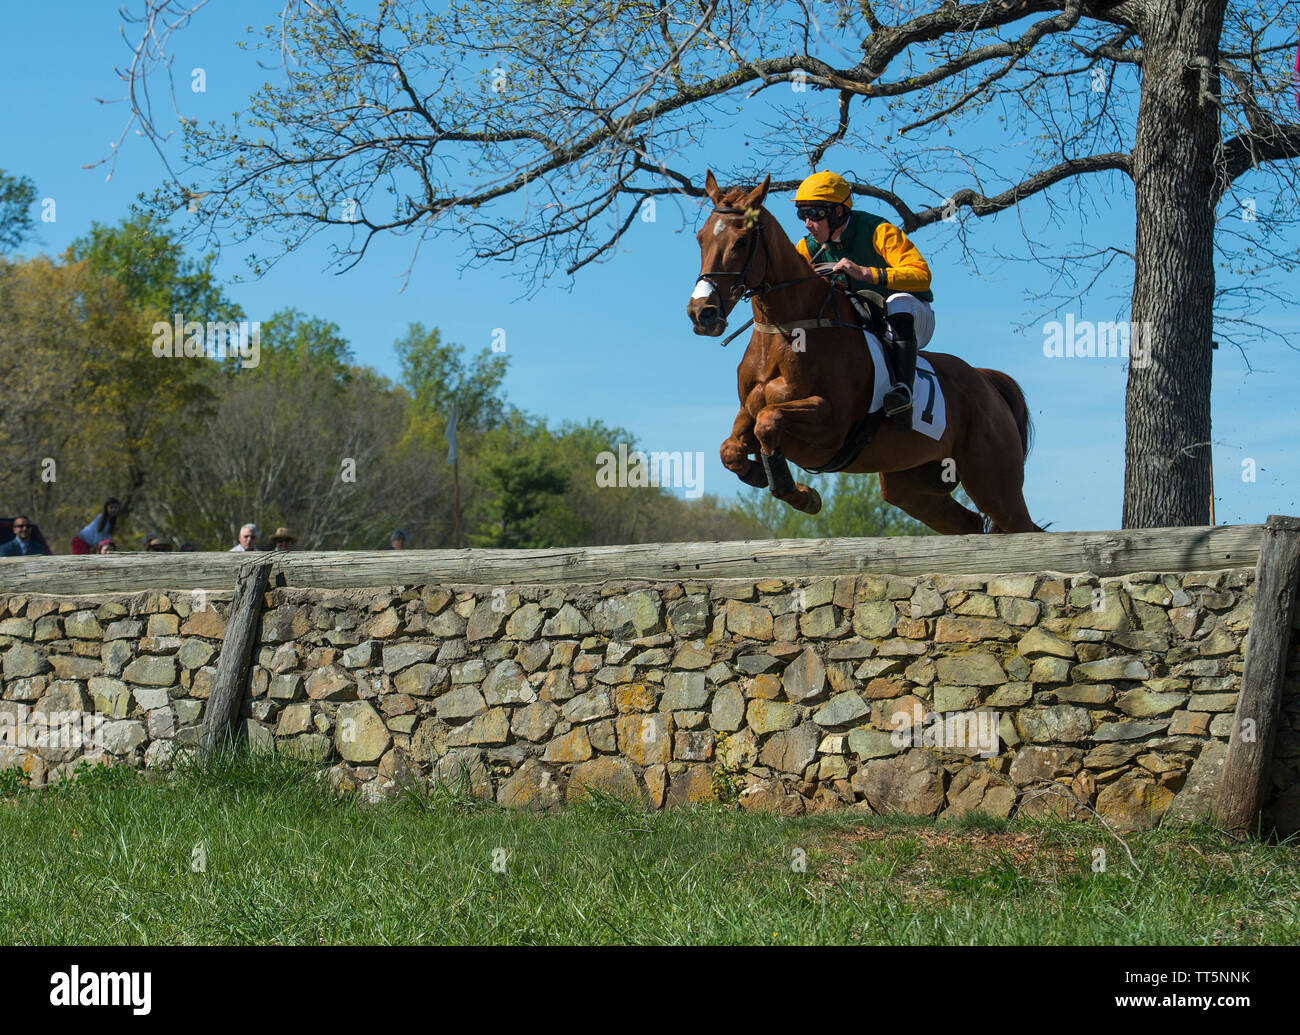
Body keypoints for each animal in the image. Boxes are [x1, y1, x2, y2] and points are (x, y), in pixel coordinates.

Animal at [686, 170, 1040, 533]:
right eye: (701, 238)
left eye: (742, 241)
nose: (703, 313)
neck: (786, 332)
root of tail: (986, 383)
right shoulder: (749, 410)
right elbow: (731, 449)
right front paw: (762, 473)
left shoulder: (830, 423)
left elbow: (769, 421)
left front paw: (800, 494)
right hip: (911, 484)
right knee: (969, 522)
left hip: (993, 481)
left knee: (1021, 525)